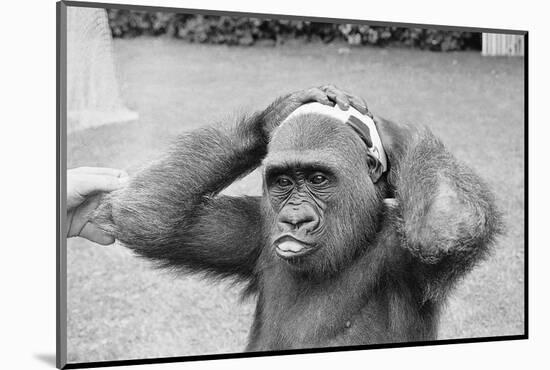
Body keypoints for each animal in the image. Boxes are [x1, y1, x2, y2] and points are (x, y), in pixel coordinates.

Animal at [92, 85, 502, 352]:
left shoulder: (407, 258)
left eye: (318, 179)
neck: (355, 243)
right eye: (284, 181)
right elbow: (150, 217)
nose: (294, 218)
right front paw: (274, 115)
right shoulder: (254, 227)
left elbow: (444, 225)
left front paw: (387, 131)